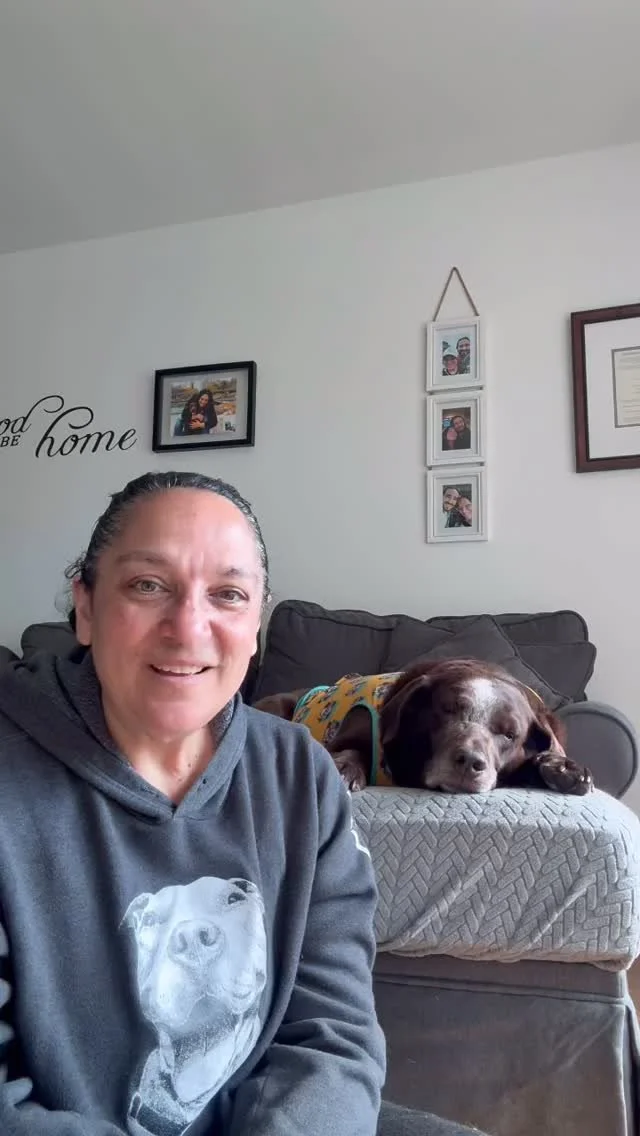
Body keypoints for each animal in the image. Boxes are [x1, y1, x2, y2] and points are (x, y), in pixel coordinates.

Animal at [254, 657, 594, 797]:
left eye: (510, 734)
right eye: (447, 710)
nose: (470, 762)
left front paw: (564, 768)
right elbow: (352, 748)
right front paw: (342, 768)